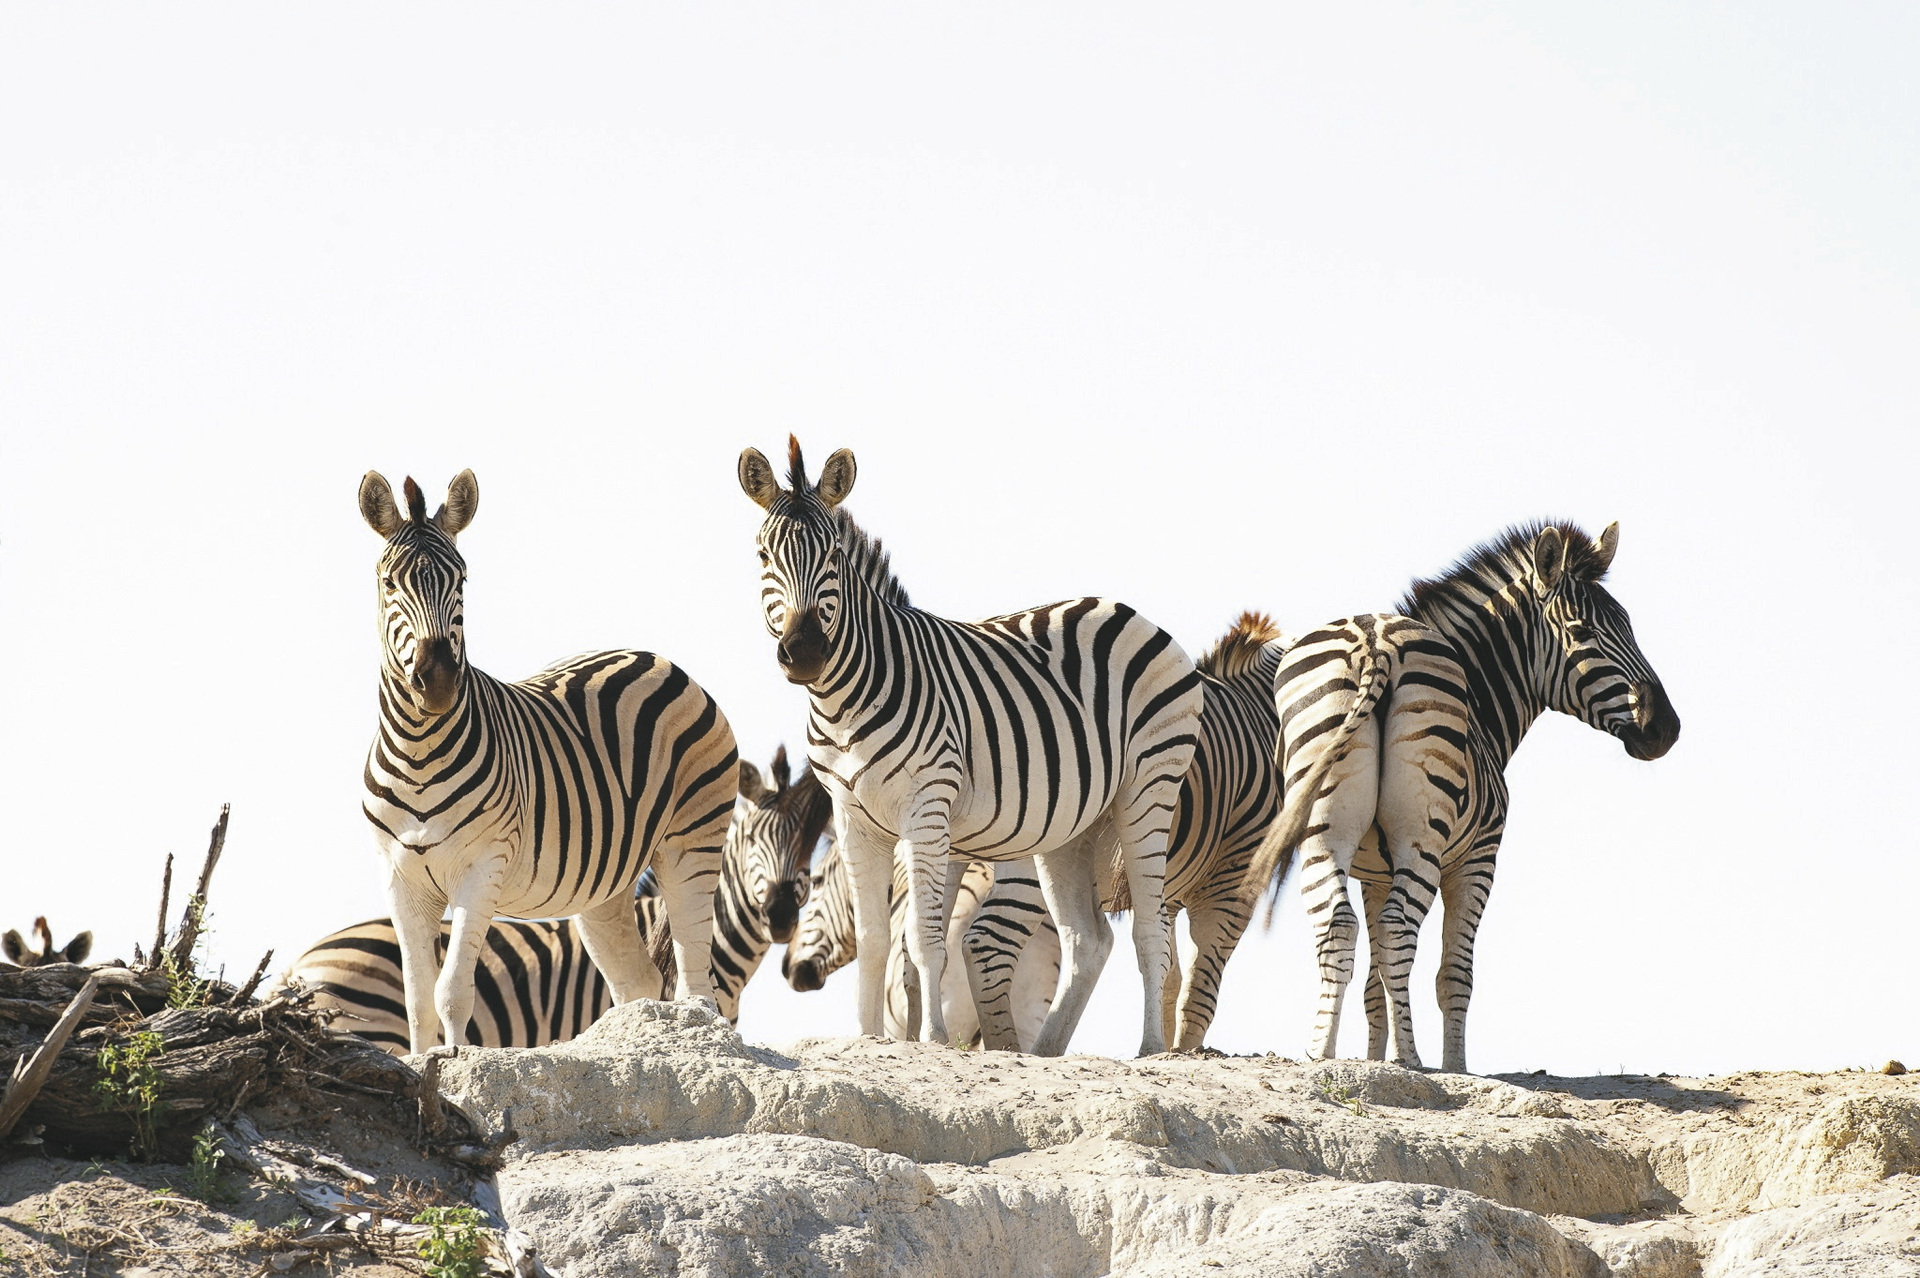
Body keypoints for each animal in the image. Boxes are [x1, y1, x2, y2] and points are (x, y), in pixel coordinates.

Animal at [357, 472, 737, 1051]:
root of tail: (655, 658)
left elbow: (451, 991)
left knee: (696, 980)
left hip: (693, 840)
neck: (420, 751)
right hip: (606, 883)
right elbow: (417, 1001)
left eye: (462, 580)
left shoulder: (482, 868)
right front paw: (422, 1061)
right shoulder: (401, 878)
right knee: (639, 981)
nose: (438, 682)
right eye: (389, 583)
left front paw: (456, 1060)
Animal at [737, 437, 1198, 1051]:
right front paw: (867, 1040)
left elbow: (924, 938)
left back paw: (1148, 1052)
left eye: (832, 554)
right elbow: (876, 941)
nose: (806, 650)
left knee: (1151, 931)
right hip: (1072, 825)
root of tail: (1127, 610)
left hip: (1149, 787)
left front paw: (931, 1038)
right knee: (1088, 940)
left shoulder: (926, 808)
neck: (844, 702)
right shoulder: (855, 818)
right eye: (764, 557)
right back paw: (1043, 1053)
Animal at [1244, 514, 1681, 1066]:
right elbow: (1455, 975)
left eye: (1628, 626)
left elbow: (1373, 981)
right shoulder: (1480, 857)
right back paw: (1413, 1060)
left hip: (1322, 826)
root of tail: (1375, 642)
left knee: (1340, 927)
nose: (1667, 729)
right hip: (1423, 834)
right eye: (1583, 634)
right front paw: (1454, 1067)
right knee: (1397, 930)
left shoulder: (1372, 870)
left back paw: (1321, 1052)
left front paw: (1375, 1060)